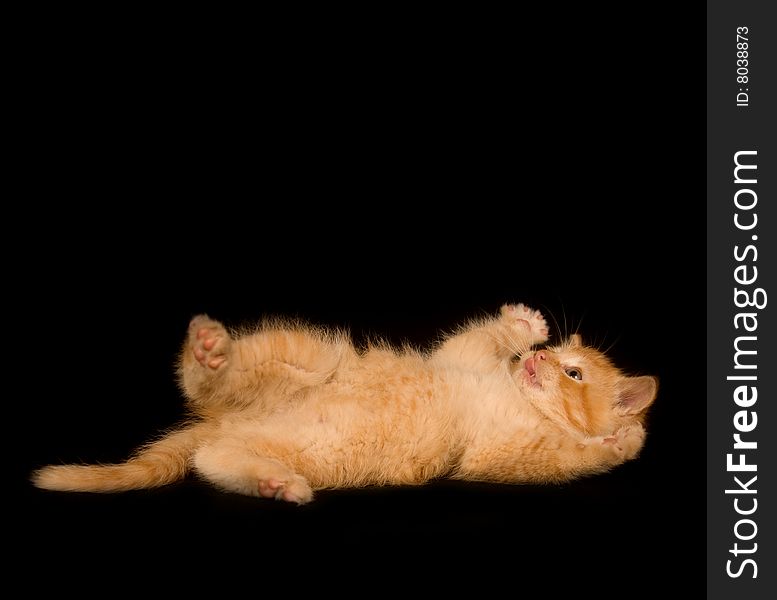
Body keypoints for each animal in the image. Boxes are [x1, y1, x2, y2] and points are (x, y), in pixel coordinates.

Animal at [34, 302, 656, 504]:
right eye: (553, 354)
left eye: (572, 373)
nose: (539, 359)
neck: (518, 396)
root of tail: (227, 420)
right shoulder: (462, 358)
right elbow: (477, 338)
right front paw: (522, 325)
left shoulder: (498, 456)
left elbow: (577, 454)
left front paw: (621, 439)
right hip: (304, 354)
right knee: (205, 385)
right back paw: (209, 351)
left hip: (277, 442)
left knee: (213, 460)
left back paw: (274, 482)